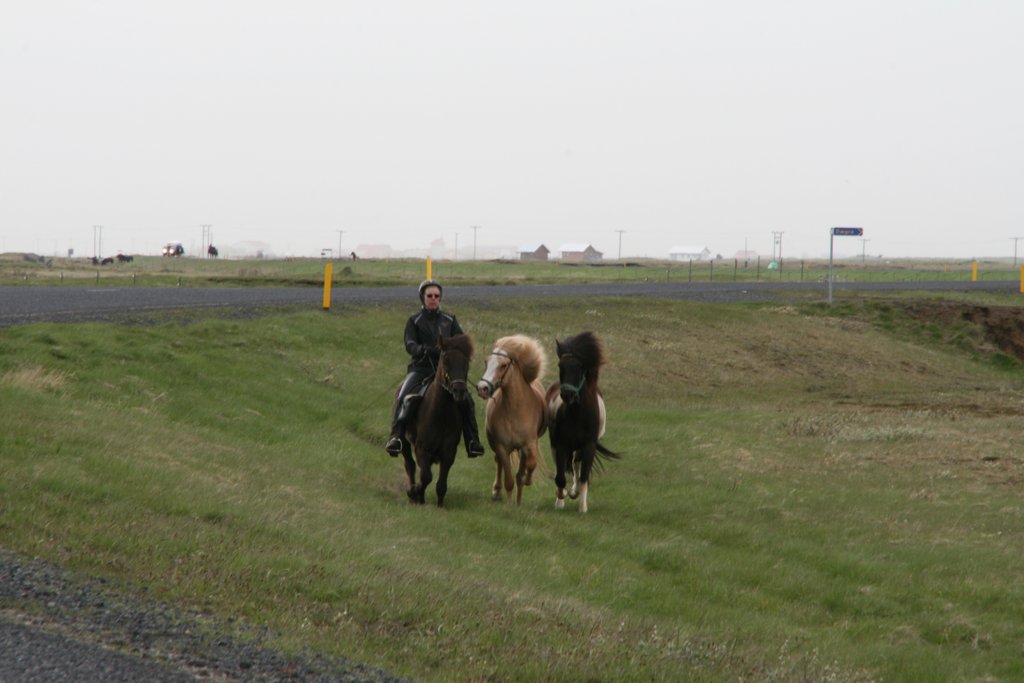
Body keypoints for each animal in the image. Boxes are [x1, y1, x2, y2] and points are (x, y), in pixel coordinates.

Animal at [398, 334, 474, 507]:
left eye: (466, 363)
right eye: (446, 361)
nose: (459, 390)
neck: (442, 413)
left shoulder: (449, 452)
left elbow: (441, 484)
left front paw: (439, 505)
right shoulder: (422, 448)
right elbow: (426, 476)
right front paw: (414, 493)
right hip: (404, 443)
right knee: (410, 465)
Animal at [476, 335, 548, 504]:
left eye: (503, 365)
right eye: (486, 362)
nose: (482, 388)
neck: (515, 410)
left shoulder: (529, 444)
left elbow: (530, 466)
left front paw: (526, 483)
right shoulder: (502, 446)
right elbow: (508, 480)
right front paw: (509, 505)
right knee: (499, 463)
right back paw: (497, 491)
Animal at [545, 331, 619, 513]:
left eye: (579, 367)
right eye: (560, 365)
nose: (567, 395)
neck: (577, 415)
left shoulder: (588, 445)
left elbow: (584, 475)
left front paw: (582, 506)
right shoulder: (561, 444)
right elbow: (560, 476)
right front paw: (560, 500)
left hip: (578, 448)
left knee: (576, 465)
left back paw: (575, 491)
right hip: (556, 444)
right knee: (564, 467)